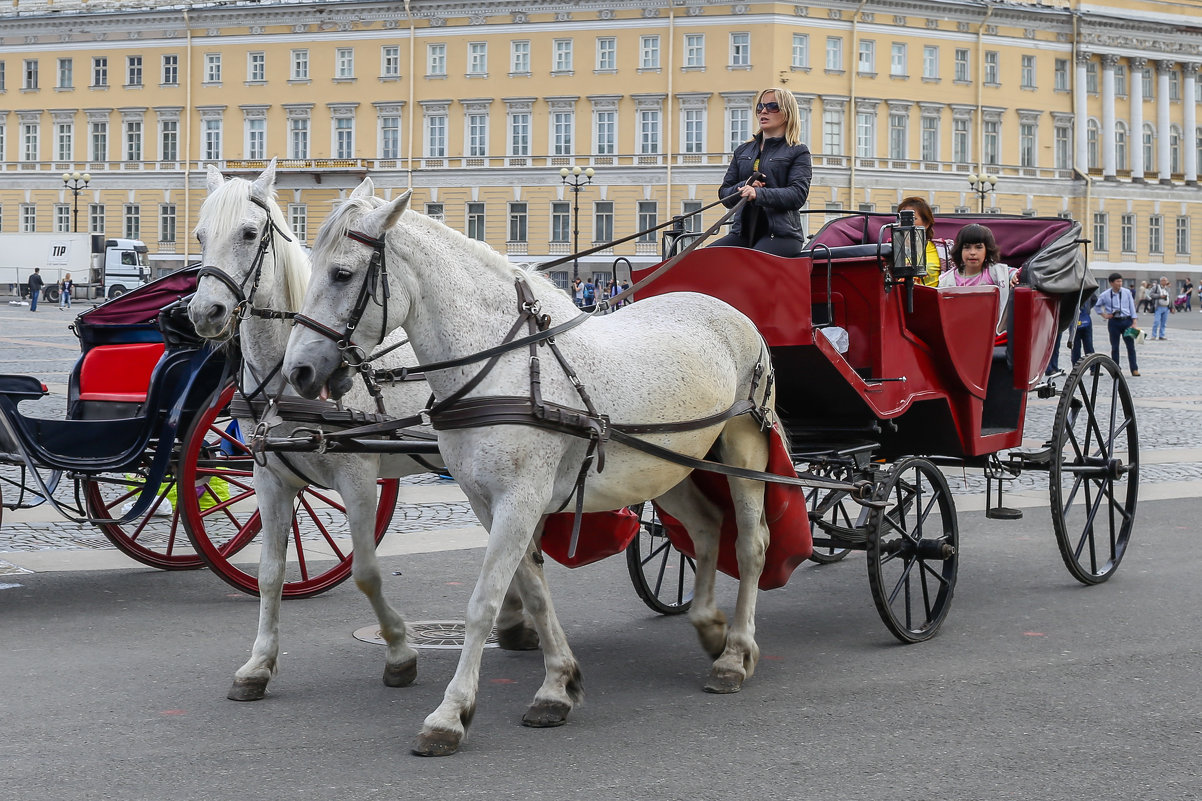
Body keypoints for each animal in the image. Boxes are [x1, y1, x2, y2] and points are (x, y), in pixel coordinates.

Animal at [186, 164, 536, 702]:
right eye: (201, 235)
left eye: (247, 233)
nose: (205, 313)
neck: (284, 375)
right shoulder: (269, 477)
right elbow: (269, 574)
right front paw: (259, 664)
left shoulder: (356, 477)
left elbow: (366, 572)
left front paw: (399, 651)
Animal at [287, 184, 783, 750]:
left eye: (341, 273)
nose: (298, 371)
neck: (504, 366)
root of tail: (723, 306)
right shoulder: (486, 502)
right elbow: (533, 591)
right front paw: (557, 685)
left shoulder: (520, 499)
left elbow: (484, 601)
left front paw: (450, 713)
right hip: (665, 465)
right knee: (705, 526)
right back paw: (709, 626)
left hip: (745, 447)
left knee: (750, 544)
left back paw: (735, 654)